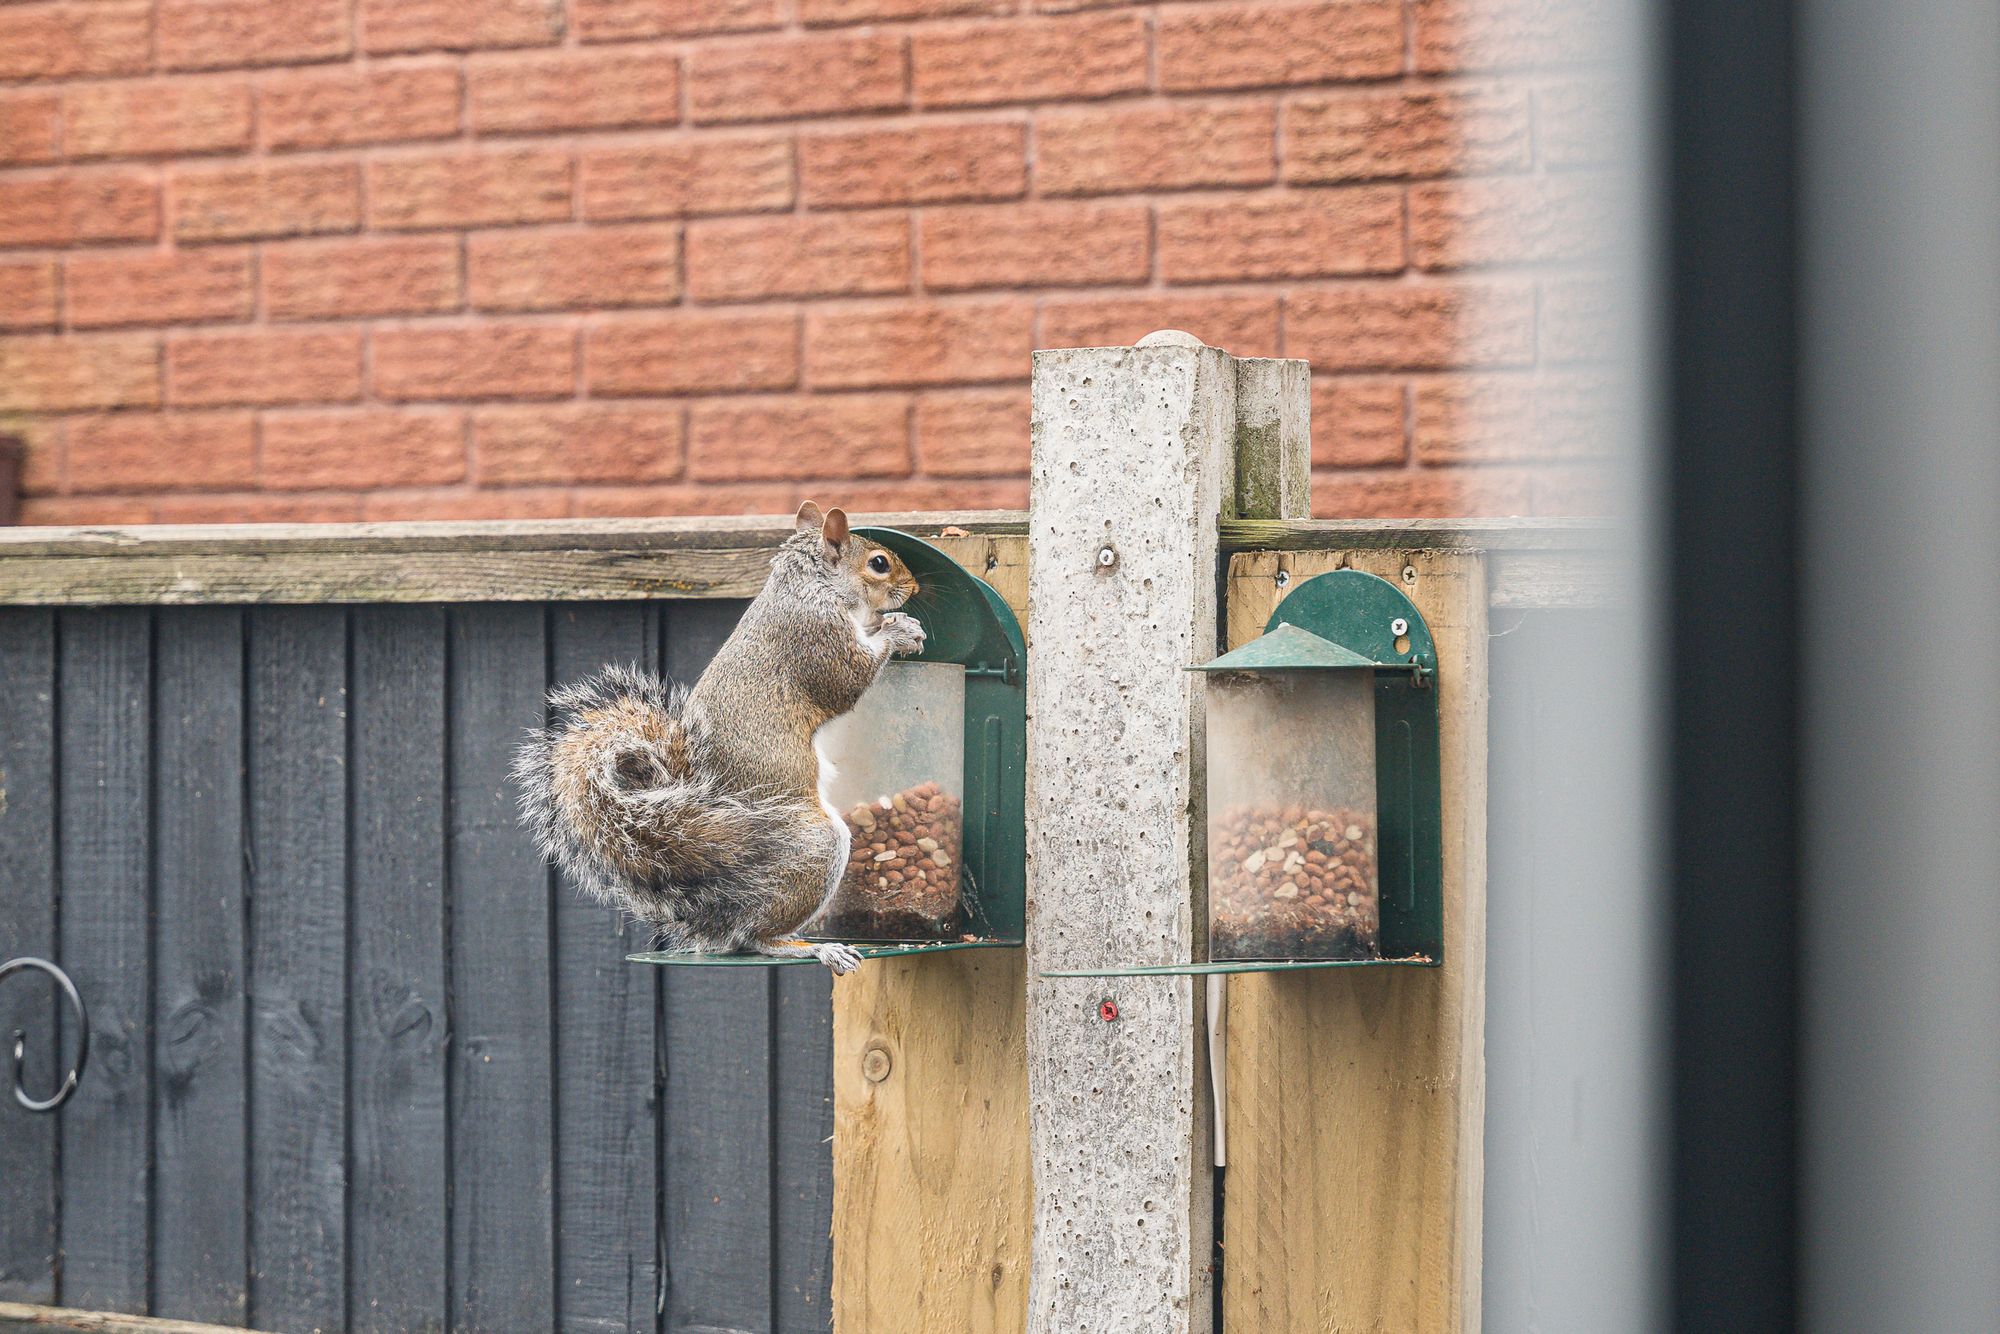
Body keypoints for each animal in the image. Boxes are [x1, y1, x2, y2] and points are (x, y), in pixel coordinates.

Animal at [512, 506, 924, 976]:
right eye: (879, 563)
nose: (914, 587)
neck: (806, 584)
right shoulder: (815, 637)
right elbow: (847, 680)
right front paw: (898, 631)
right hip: (813, 847)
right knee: (756, 937)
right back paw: (811, 948)